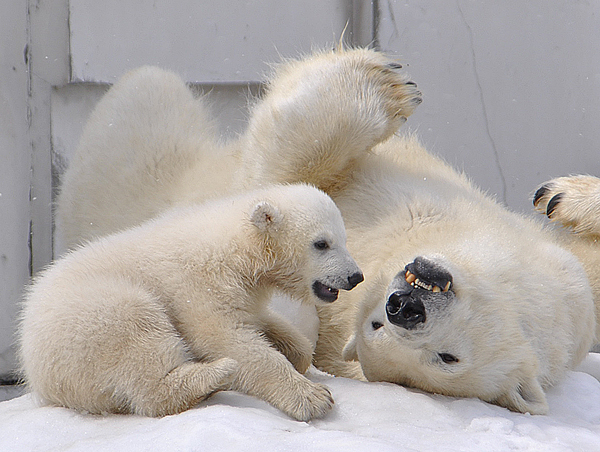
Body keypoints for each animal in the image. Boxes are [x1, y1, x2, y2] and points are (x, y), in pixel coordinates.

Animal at [18, 183, 364, 420]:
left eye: (345, 239)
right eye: (321, 243)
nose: (355, 276)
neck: (237, 247)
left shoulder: (243, 290)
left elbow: (261, 322)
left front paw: (295, 353)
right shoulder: (200, 282)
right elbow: (224, 336)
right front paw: (313, 397)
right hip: (96, 313)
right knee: (140, 342)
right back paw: (216, 373)